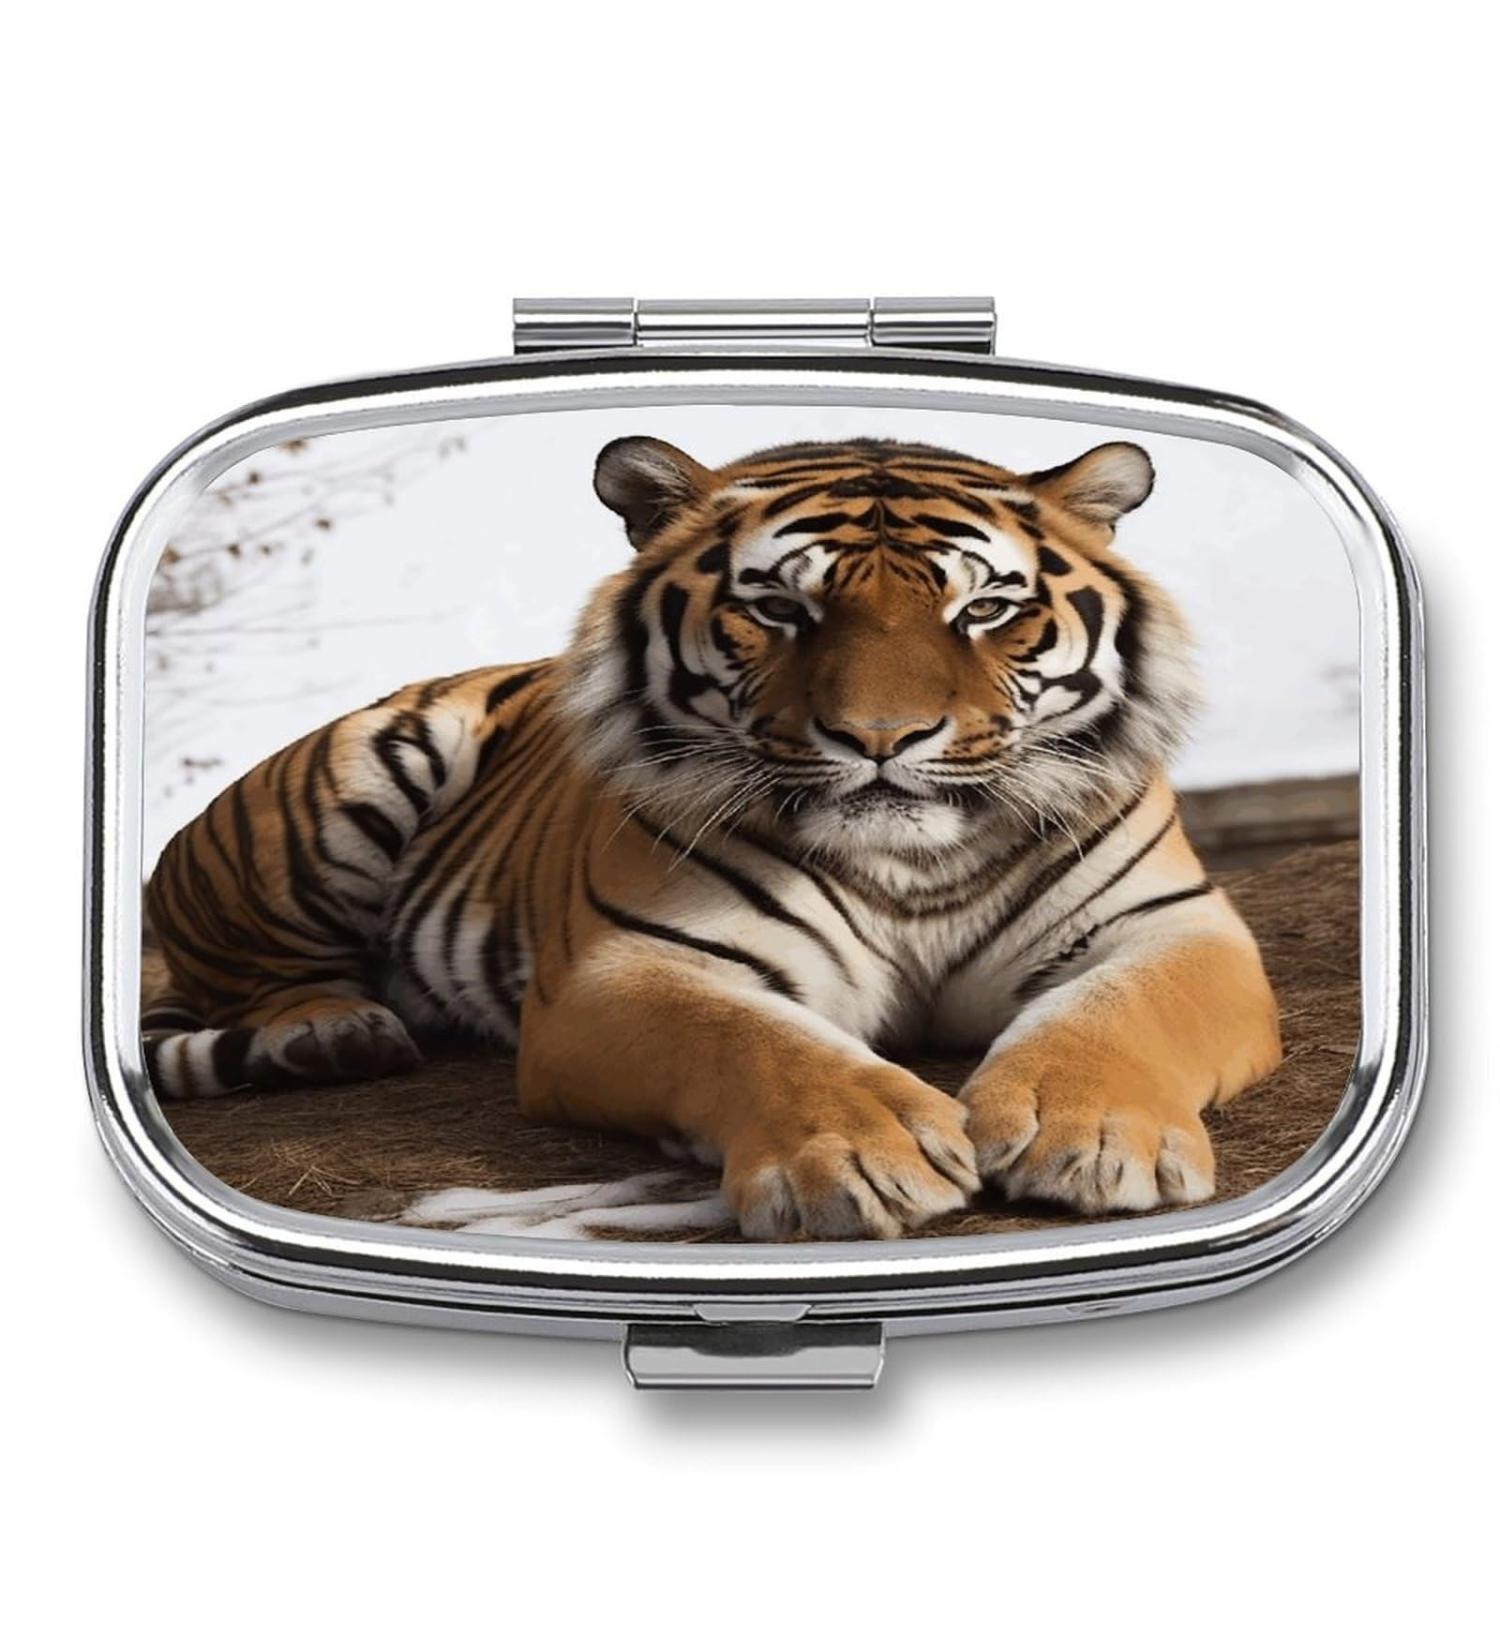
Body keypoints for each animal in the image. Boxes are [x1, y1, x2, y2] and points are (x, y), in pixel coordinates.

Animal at [143, 435, 1282, 1239]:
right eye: (780, 608)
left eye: (984, 611)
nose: (882, 737)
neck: (913, 863)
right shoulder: (622, 967)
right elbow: (753, 1039)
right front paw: (865, 1154)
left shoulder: (1173, 926)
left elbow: (1121, 1009)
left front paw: (1089, 1136)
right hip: (344, 786)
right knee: (259, 977)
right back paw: (329, 1030)